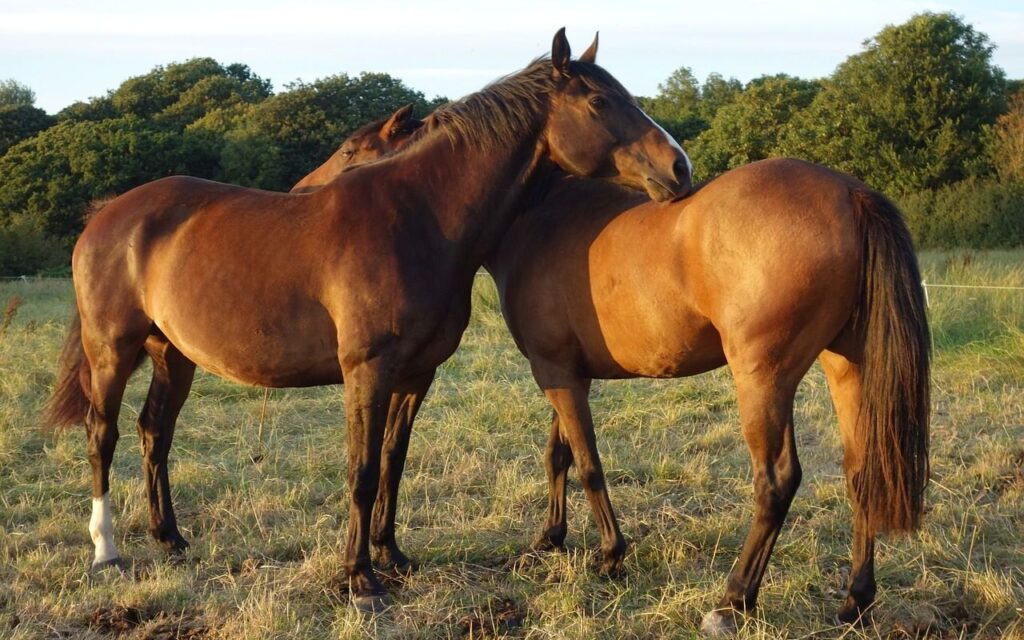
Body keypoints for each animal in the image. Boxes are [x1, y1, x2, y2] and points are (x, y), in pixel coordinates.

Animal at [43, 29, 693, 612]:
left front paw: (391, 556)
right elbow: (360, 468)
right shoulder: (367, 370)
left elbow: (391, 463)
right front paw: (359, 578)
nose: (679, 168)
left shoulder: (415, 376)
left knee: (156, 433)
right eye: (599, 102)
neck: (419, 216)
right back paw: (106, 551)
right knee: (103, 435)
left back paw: (171, 539)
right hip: (111, 351)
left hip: (172, 355)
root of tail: (107, 215)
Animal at [304, 115, 930, 634]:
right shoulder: (563, 371)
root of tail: (849, 192)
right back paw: (855, 601)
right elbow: (559, 454)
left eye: (353, 148)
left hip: (763, 378)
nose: (307, 194)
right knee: (862, 473)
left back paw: (733, 602)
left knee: (776, 480)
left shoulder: (555, 371)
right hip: (847, 366)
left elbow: (587, 463)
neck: (537, 218)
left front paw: (609, 556)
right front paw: (549, 539)